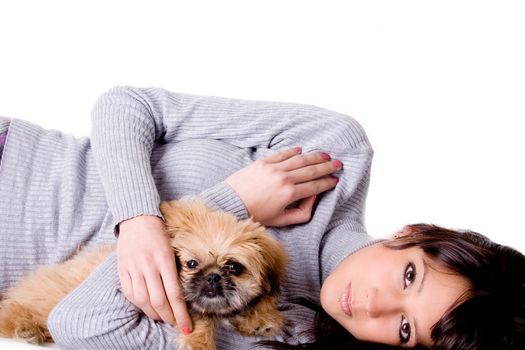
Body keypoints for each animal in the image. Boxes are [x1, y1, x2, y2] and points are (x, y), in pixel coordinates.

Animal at [0, 200, 286, 350]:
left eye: (234, 268)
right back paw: (25, 328)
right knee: (14, 307)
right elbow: (198, 317)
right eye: (192, 264)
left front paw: (261, 317)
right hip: (52, 294)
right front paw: (200, 342)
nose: (213, 277)